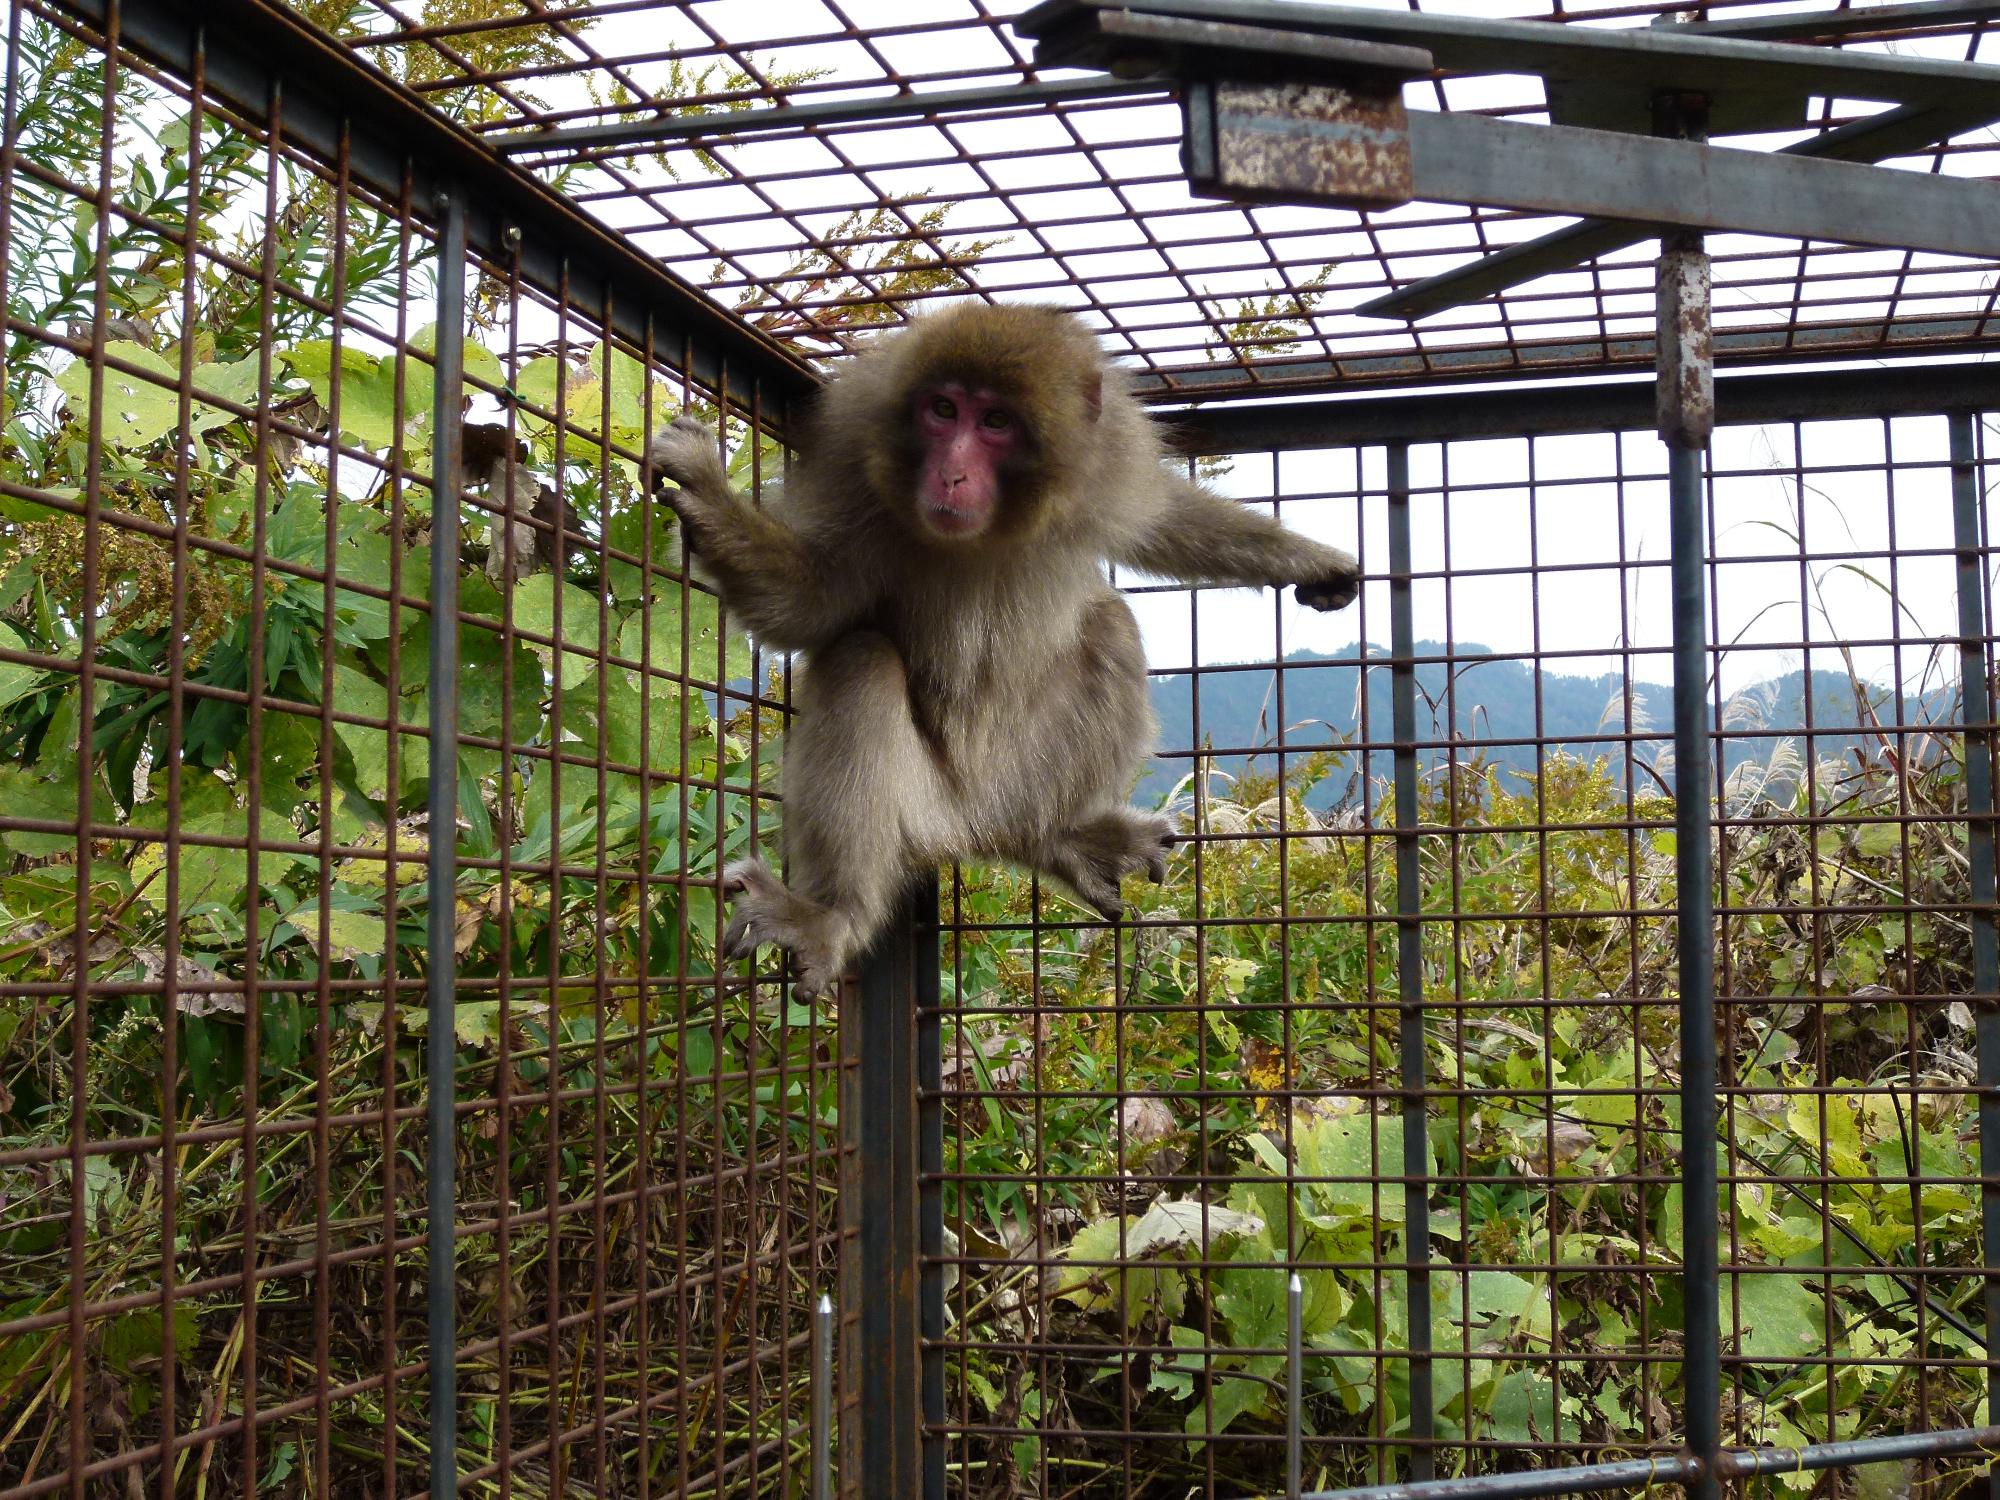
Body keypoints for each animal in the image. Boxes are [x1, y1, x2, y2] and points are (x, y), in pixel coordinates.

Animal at [648, 302, 1368, 1004]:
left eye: (995, 421)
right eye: (943, 410)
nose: (951, 472)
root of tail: (974, 826)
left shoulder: (1106, 459)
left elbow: (1168, 520)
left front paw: (1309, 560)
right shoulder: (853, 462)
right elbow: (812, 601)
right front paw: (708, 490)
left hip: (1020, 778)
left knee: (1109, 626)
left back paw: (1052, 837)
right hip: (922, 806)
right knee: (860, 660)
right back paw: (837, 915)